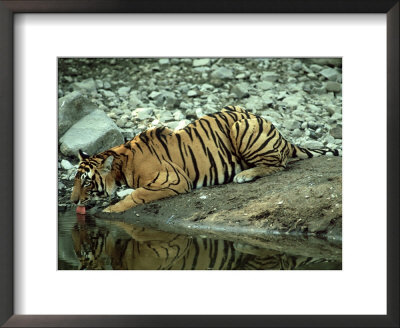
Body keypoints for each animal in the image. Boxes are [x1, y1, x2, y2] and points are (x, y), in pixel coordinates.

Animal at [70, 105, 340, 213]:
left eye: (86, 181)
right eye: (75, 180)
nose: (72, 202)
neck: (121, 165)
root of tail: (282, 136)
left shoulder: (172, 180)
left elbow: (138, 195)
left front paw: (112, 209)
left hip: (242, 127)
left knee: (278, 165)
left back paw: (244, 175)